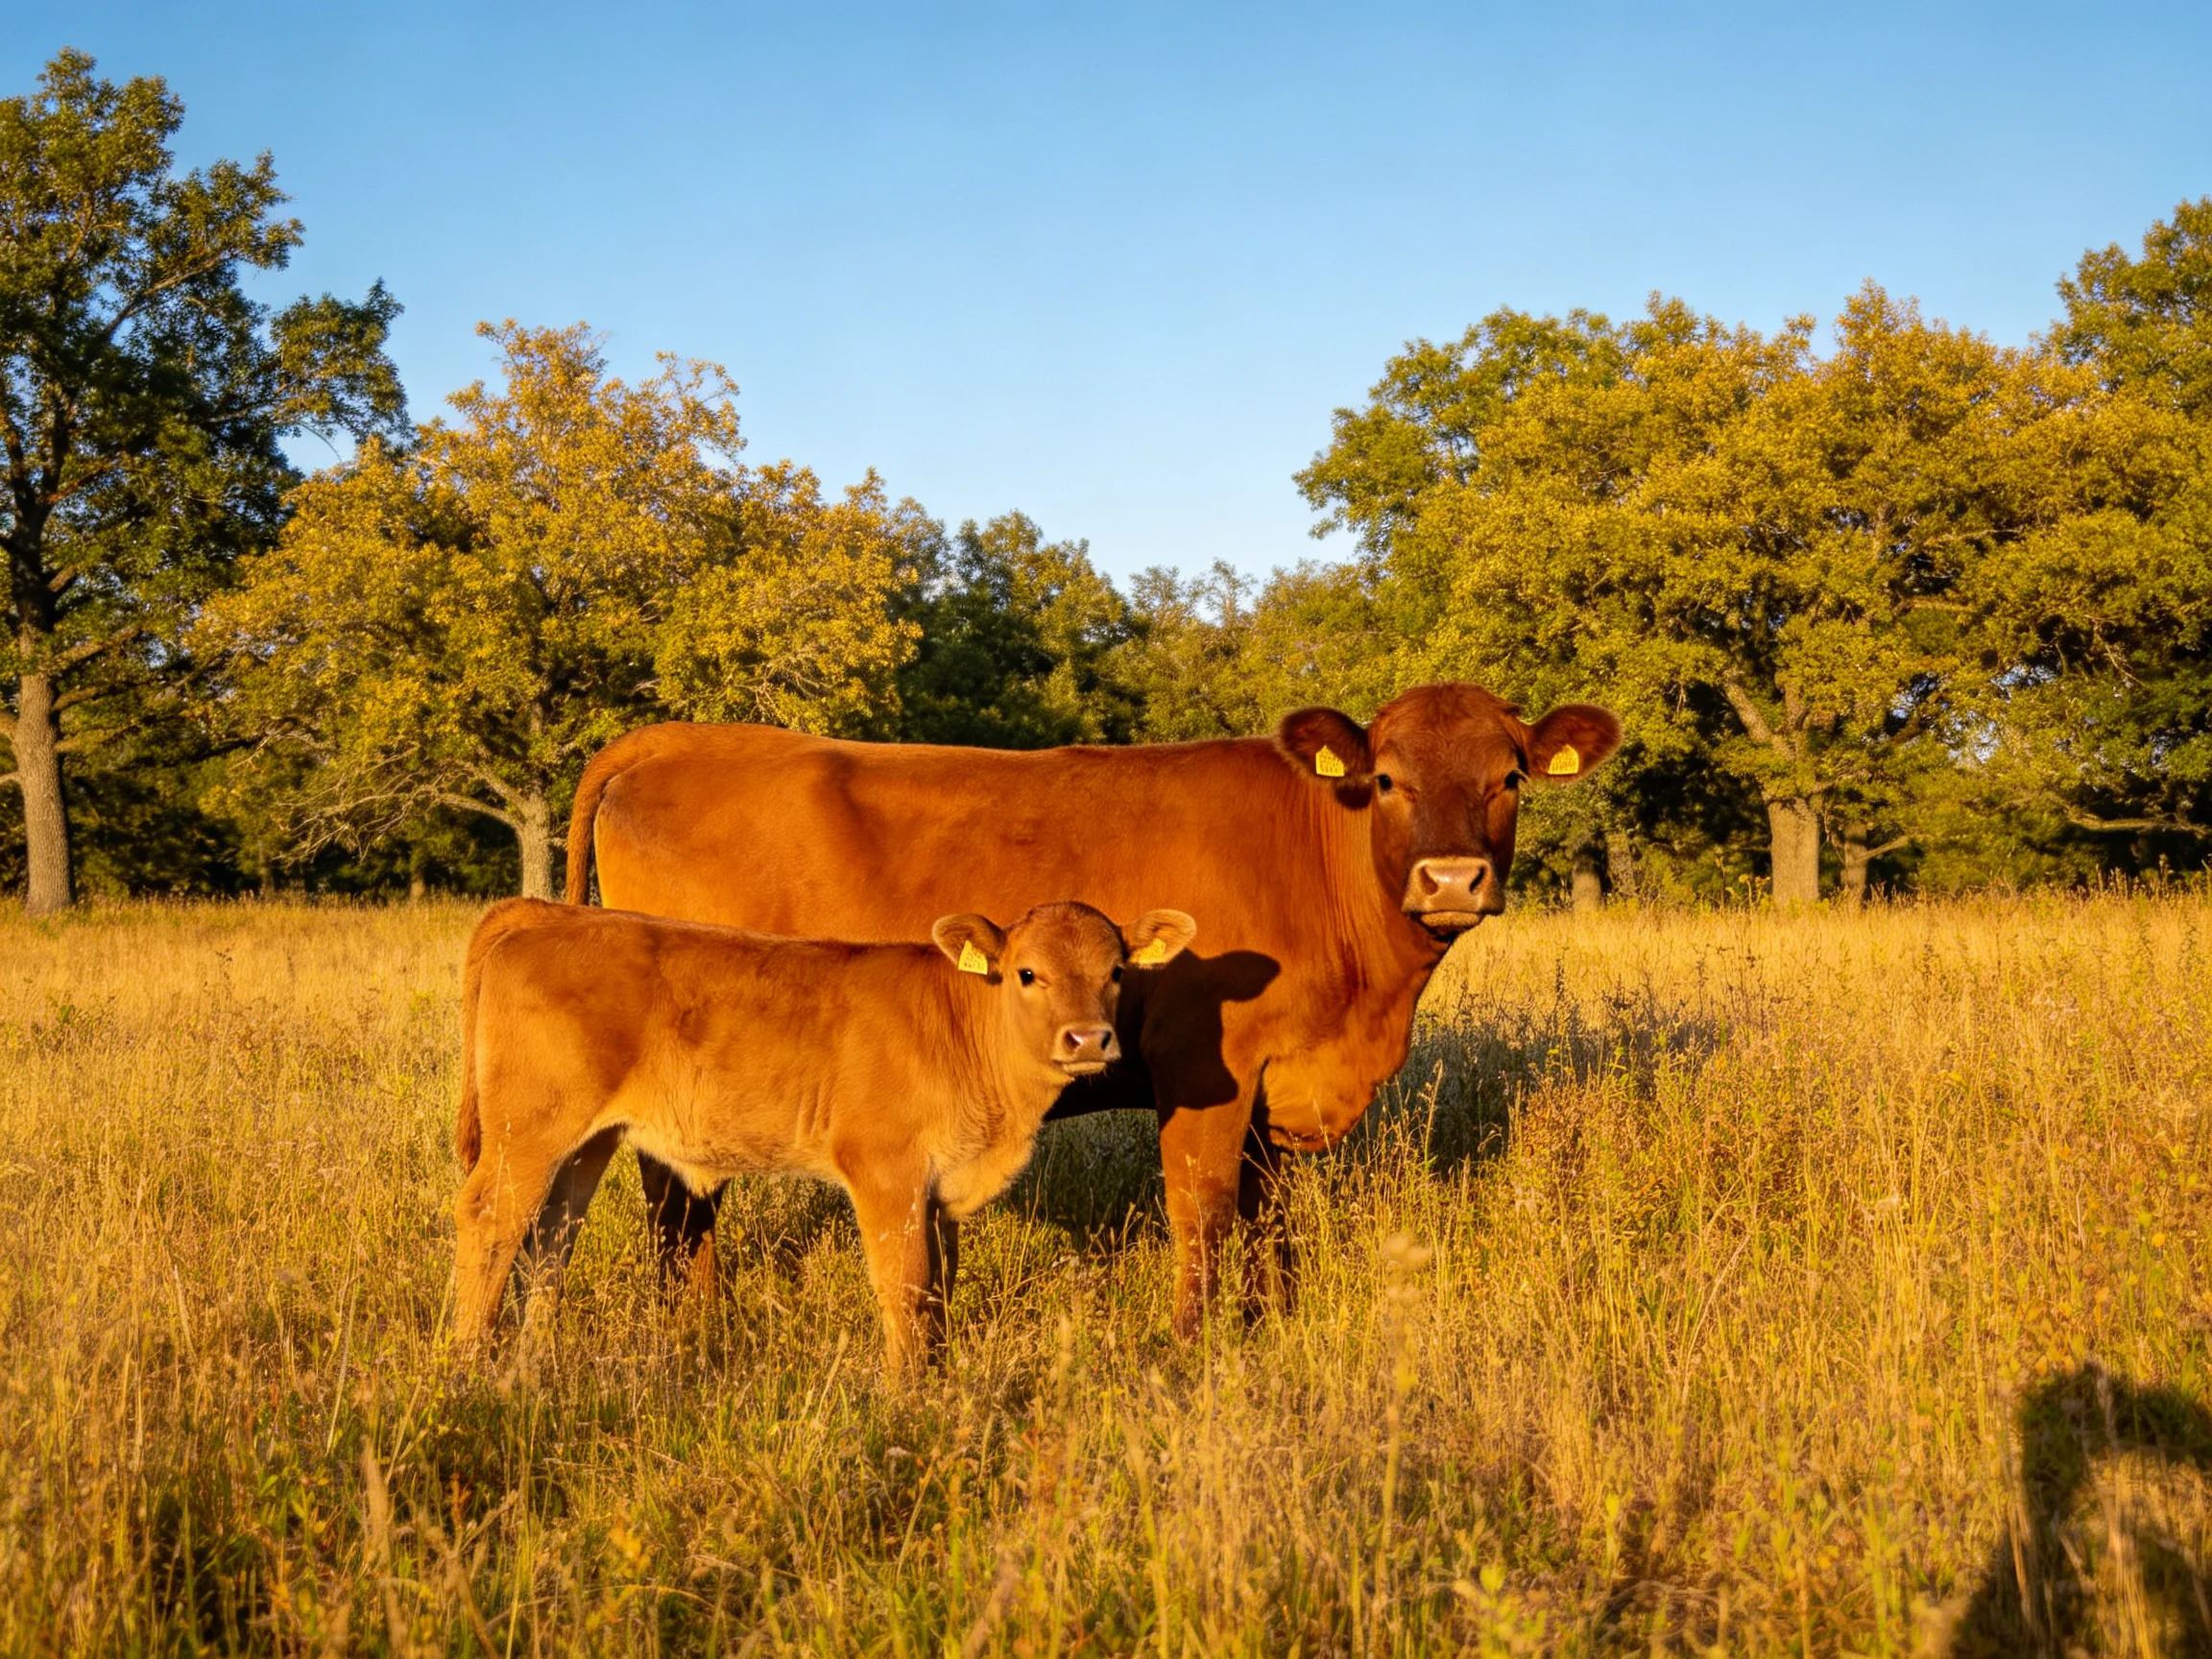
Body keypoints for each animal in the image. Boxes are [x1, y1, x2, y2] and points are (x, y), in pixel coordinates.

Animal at [451, 896, 1197, 1378]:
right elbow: (906, 1288)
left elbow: (939, 1291)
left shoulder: (937, 1193)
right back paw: (468, 1364)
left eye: (1117, 972)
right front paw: (908, 1397)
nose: (1089, 1039)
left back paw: (530, 1363)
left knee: (550, 1235)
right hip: (530, 1129)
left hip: (587, 1140)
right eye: (1027, 973)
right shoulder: (886, 1173)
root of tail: (551, 913)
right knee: (490, 1219)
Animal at [566, 682, 1621, 1336]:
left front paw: (1272, 1323)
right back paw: (697, 1329)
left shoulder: (1270, 1086)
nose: (1451, 879)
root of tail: (684, 737)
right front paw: (1195, 1347)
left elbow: (1270, 1214)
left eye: (1510, 776)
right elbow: (1203, 1209)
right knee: (676, 1193)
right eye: (1391, 778)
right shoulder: (1203, 1067)